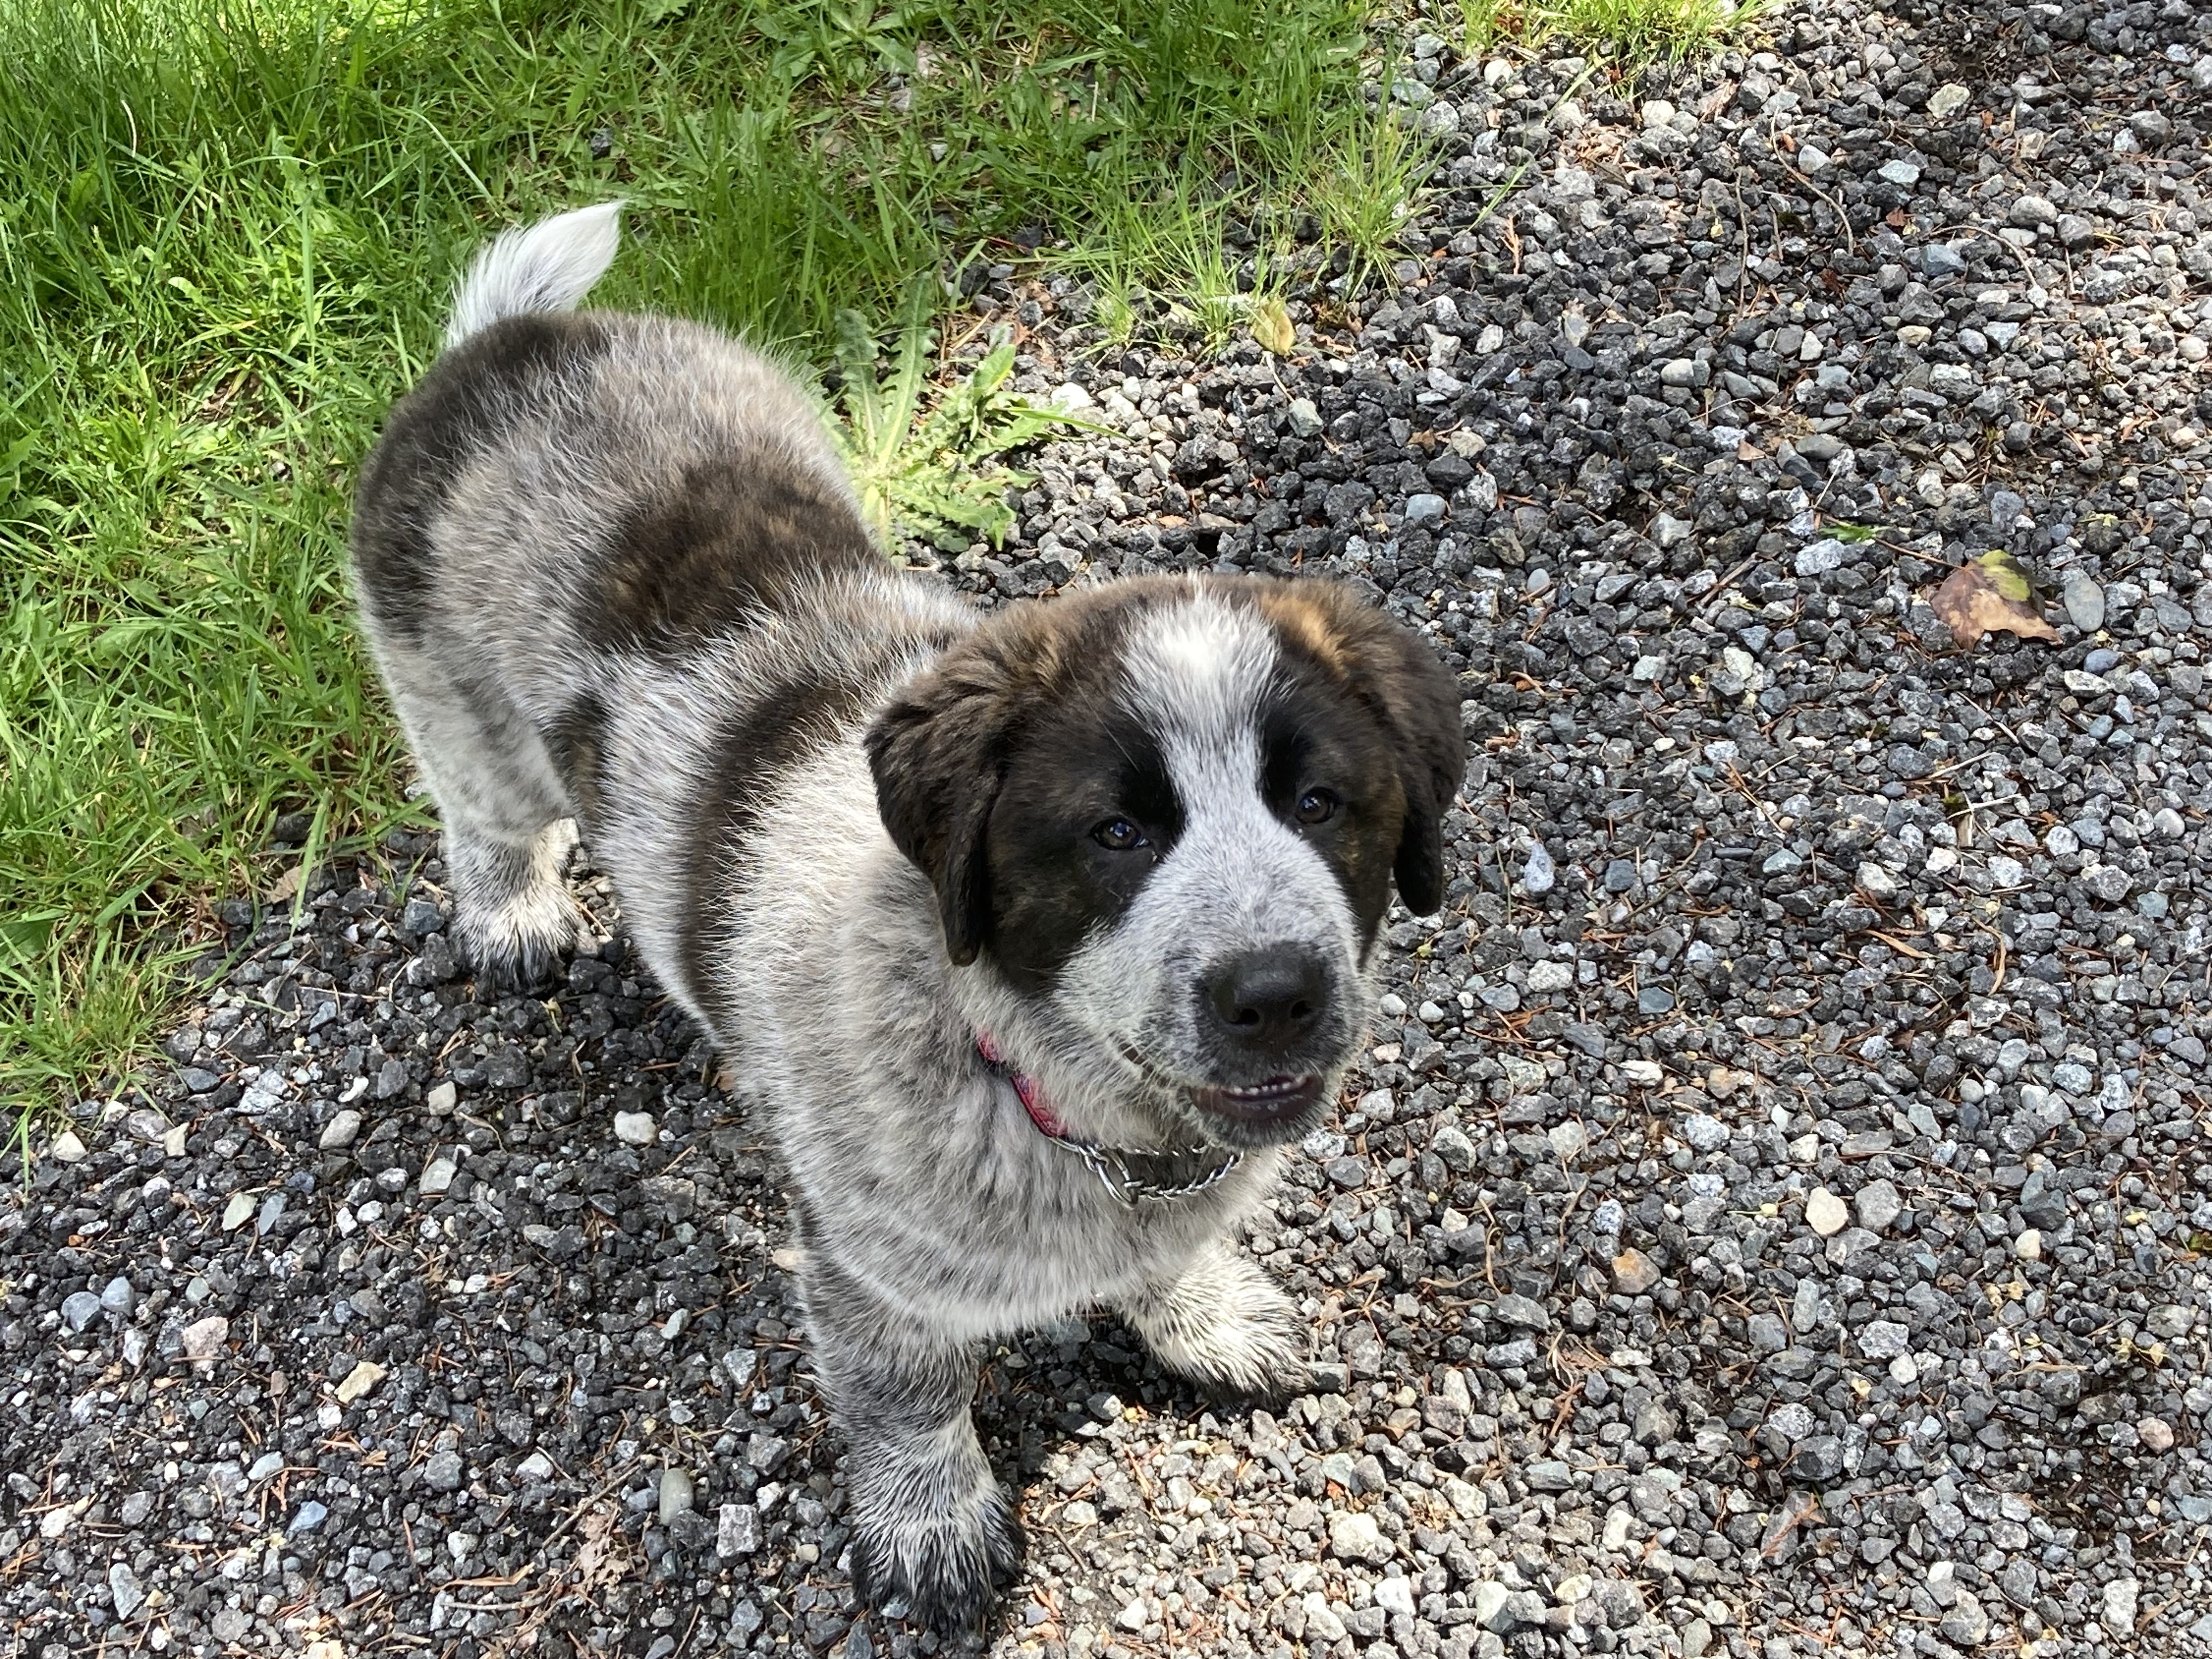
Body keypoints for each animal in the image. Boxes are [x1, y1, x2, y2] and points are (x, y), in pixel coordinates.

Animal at [350, 203, 1464, 1634]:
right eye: (1115, 834)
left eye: (1323, 802)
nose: (1276, 992)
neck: (1027, 1074)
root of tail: (514, 341)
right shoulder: (872, 1272)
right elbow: (910, 1400)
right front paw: (932, 1522)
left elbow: (1172, 1260)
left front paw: (1206, 1315)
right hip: (459, 714)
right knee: (480, 813)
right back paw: (511, 914)